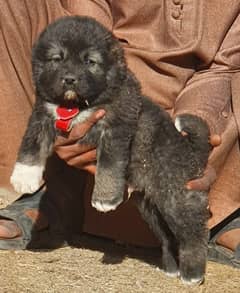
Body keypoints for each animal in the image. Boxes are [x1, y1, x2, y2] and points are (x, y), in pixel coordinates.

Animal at [10, 15, 212, 282]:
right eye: (57, 58)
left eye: (90, 61)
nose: (70, 79)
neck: (78, 104)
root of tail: (192, 153)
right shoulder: (42, 113)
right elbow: (31, 143)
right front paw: (24, 178)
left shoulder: (118, 127)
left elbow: (109, 164)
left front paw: (104, 199)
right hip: (150, 207)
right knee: (168, 237)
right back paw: (170, 268)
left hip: (175, 196)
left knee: (193, 235)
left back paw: (192, 274)